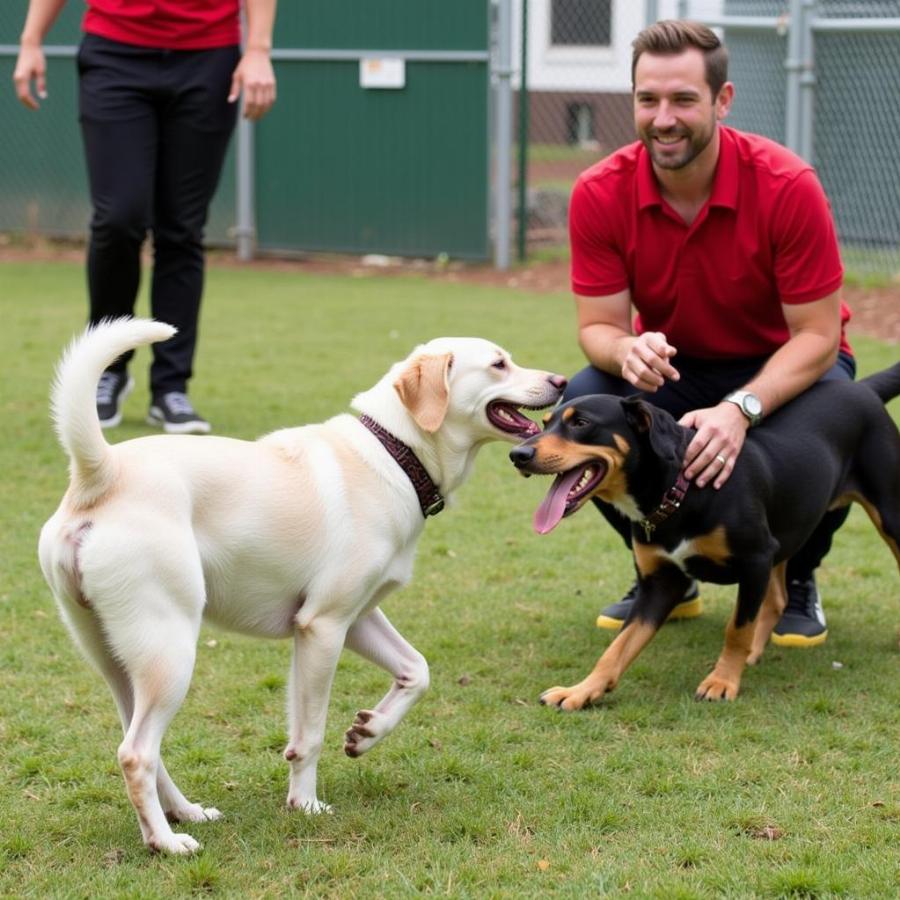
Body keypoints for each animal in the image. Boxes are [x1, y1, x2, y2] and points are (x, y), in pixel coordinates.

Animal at [38, 320, 568, 856]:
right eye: (499, 363)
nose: (562, 381)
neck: (395, 453)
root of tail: (101, 474)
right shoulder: (324, 626)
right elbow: (311, 734)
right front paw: (306, 804)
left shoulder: (353, 619)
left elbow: (415, 671)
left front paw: (367, 732)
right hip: (171, 653)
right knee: (136, 753)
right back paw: (167, 842)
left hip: (120, 662)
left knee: (141, 745)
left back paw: (185, 813)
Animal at [506, 362, 900, 708]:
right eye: (544, 423)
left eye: (582, 423)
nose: (517, 454)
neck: (678, 490)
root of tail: (863, 389)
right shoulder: (661, 582)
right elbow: (618, 647)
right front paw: (581, 690)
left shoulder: (755, 560)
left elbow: (736, 628)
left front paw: (722, 682)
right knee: (776, 599)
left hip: (888, 516)